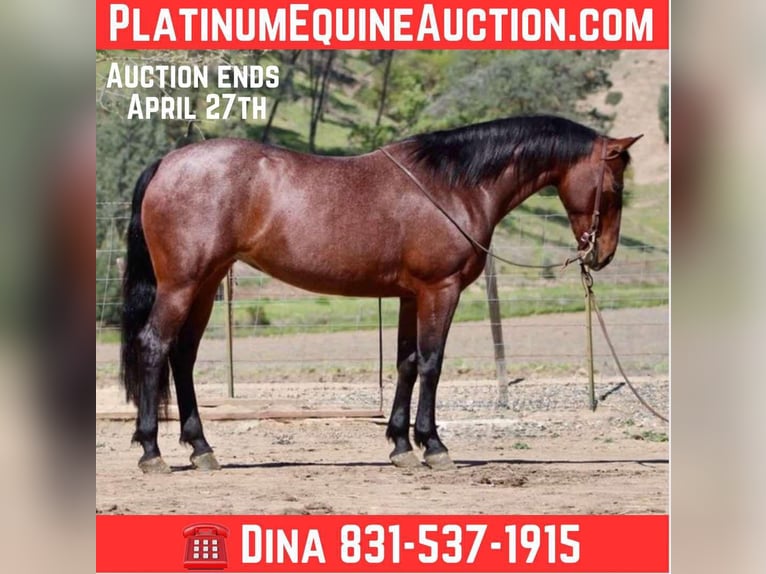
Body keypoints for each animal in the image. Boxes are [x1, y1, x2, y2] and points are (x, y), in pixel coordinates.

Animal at [120, 114, 641, 473]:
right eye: (615, 187)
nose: (603, 255)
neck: (454, 185)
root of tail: (167, 163)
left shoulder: (411, 295)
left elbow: (407, 362)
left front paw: (401, 446)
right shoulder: (440, 290)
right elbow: (432, 362)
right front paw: (434, 446)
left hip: (206, 285)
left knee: (182, 355)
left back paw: (201, 449)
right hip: (183, 285)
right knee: (154, 346)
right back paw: (152, 452)